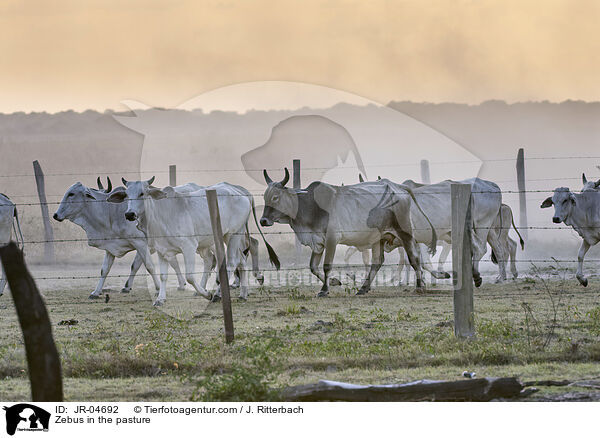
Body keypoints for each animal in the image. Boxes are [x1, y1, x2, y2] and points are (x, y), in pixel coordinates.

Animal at [106, 177, 278, 304]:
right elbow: (163, 276)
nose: (129, 214)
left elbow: (189, 276)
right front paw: (160, 299)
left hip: (233, 234)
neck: (161, 214)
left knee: (231, 262)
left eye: (142, 193)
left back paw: (217, 295)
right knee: (241, 260)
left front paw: (206, 294)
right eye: (126, 195)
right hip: (229, 236)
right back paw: (243, 294)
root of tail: (241, 193)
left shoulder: (189, 247)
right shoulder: (162, 251)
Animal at [258, 169, 436, 296]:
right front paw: (334, 282)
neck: (311, 206)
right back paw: (364, 288)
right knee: (377, 262)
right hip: (378, 238)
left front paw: (324, 290)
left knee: (414, 258)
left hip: (405, 232)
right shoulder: (317, 242)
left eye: (275, 197)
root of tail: (398, 187)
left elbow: (326, 266)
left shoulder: (332, 239)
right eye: (265, 197)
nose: (263, 221)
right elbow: (313, 267)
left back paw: (420, 286)